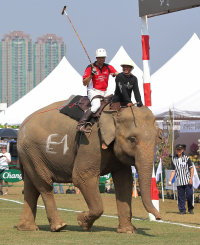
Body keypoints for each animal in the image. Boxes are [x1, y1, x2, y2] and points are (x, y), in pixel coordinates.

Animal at [16, 99, 162, 234]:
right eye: (132, 139)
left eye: (157, 139)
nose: (159, 218)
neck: (115, 111)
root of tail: (22, 125)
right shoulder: (91, 142)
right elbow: (82, 176)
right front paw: (82, 222)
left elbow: (124, 182)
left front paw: (128, 231)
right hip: (33, 151)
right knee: (44, 185)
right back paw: (59, 226)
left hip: (30, 154)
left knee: (31, 187)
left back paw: (27, 228)